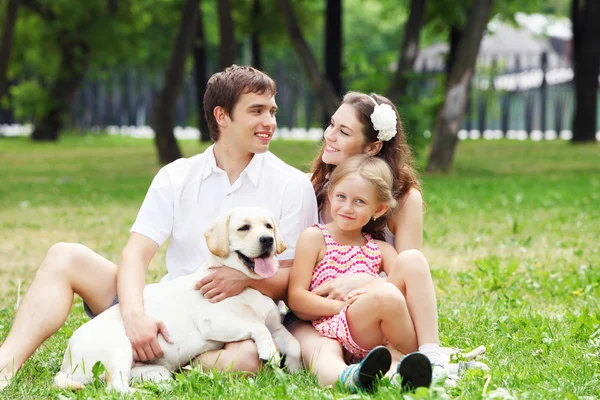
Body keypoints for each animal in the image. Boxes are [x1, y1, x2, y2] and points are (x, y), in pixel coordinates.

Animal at [54, 208, 302, 392]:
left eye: (269, 226)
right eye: (244, 228)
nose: (268, 240)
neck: (249, 286)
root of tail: (66, 362)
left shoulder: (276, 327)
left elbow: (295, 344)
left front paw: (295, 369)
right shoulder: (215, 322)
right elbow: (258, 326)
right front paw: (270, 351)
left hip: (155, 371)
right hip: (118, 347)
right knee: (115, 387)